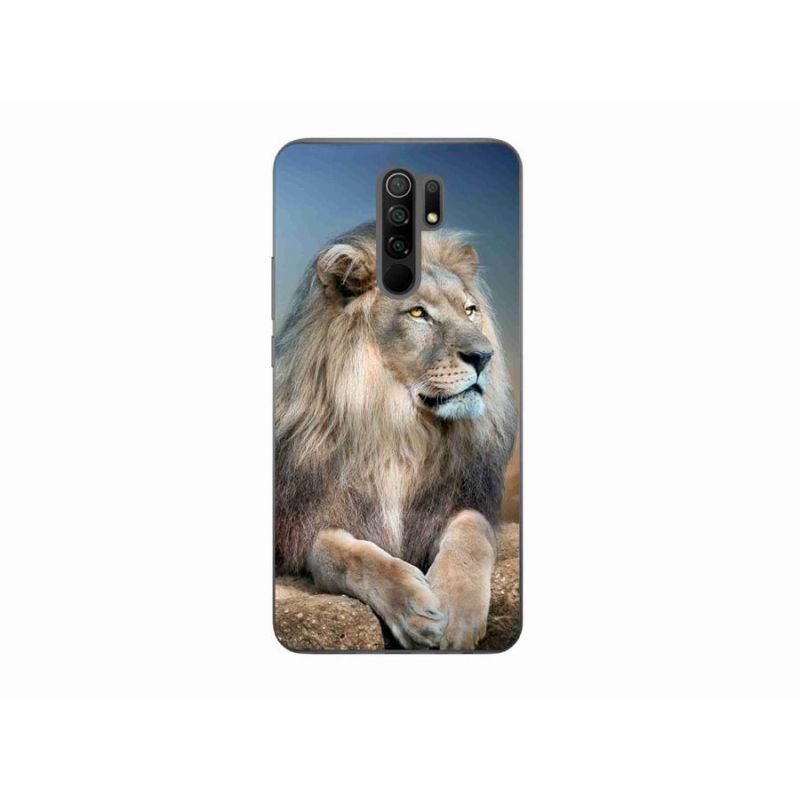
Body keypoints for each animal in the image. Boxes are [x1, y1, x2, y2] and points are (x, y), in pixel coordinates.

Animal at [274, 223, 517, 649]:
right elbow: (344, 554)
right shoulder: (304, 522)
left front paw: (457, 612)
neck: (398, 429)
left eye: (470, 310)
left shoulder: (466, 498)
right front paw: (413, 609)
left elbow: (472, 533)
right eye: (418, 313)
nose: (484, 356)